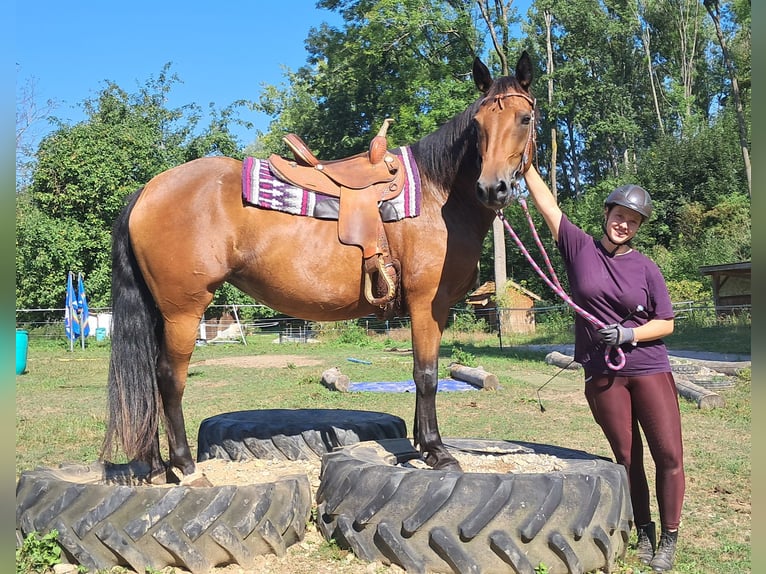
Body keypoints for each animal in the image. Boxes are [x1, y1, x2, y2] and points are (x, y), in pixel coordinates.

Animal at [102, 51, 536, 484]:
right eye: (478, 124)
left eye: (524, 118)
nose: (492, 187)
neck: (436, 193)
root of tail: (148, 189)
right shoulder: (428, 303)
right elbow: (426, 375)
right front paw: (436, 451)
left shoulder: (428, 309)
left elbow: (422, 374)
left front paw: (420, 446)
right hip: (183, 310)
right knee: (168, 378)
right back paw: (186, 466)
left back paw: (158, 466)